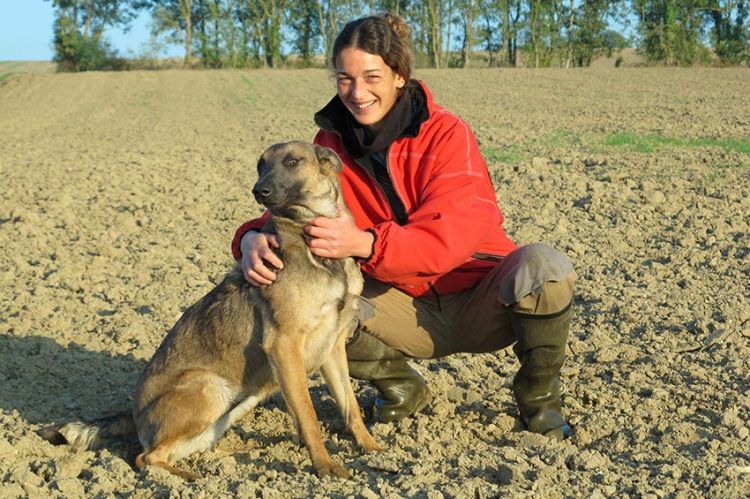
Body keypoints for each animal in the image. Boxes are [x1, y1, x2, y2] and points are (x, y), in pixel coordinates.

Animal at [41, 141, 382, 480]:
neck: (308, 233)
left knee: (196, 444)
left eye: (292, 161)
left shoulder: (332, 347)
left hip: (238, 400)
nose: (259, 190)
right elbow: (309, 416)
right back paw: (190, 478)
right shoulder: (284, 345)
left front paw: (372, 448)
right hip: (209, 387)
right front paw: (325, 466)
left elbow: (350, 406)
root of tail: (134, 412)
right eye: (260, 165)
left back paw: (231, 457)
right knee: (146, 457)